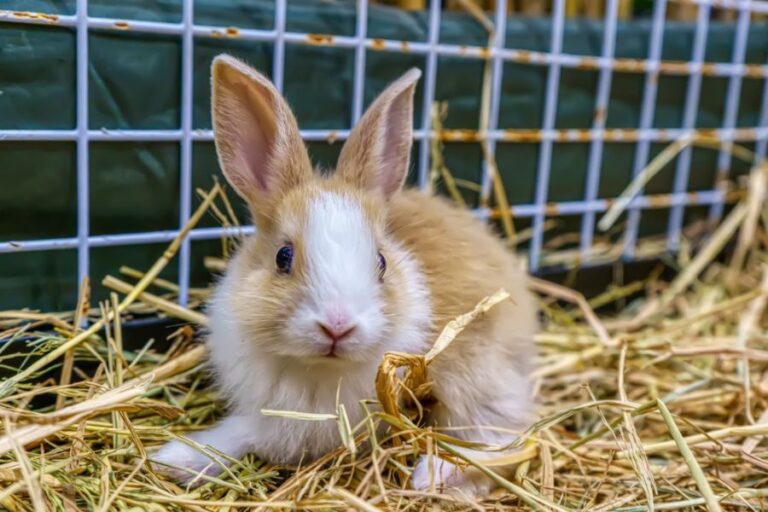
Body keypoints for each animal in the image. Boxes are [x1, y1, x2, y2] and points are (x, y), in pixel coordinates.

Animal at [151, 54, 538, 498]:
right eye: (283, 257)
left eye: (382, 262)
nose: (337, 327)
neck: (320, 370)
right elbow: (237, 435)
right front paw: (173, 460)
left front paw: (170, 459)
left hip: (476, 369)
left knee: (503, 434)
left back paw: (431, 476)